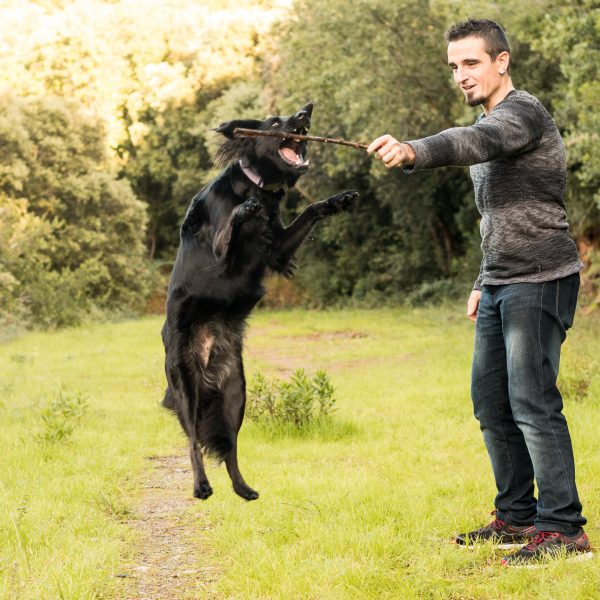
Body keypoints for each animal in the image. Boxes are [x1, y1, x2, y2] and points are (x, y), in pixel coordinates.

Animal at [161, 104, 356, 502]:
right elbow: (229, 230)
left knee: (230, 447)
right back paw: (201, 486)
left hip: (236, 392)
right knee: (192, 442)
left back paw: (243, 489)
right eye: (276, 122)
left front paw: (336, 201)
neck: (257, 185)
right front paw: (244, 210)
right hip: (185, 385)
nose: (306, 110)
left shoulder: (278, 248)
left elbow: (309, 210)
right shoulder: (220, 253)